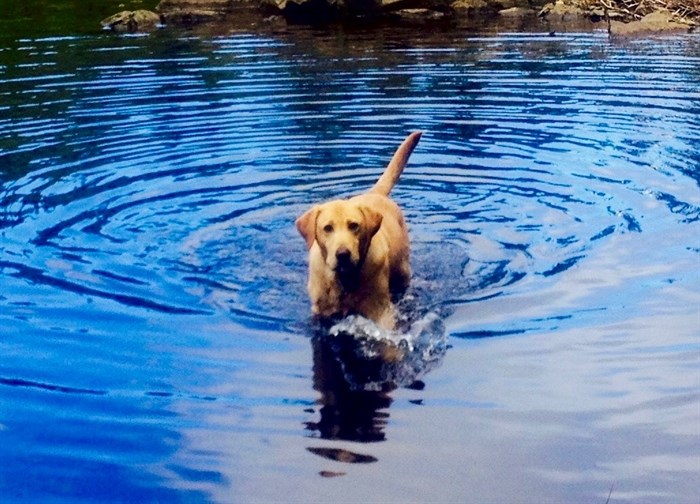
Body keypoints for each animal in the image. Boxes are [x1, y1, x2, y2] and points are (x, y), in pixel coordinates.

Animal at [296, 130, 422, 328]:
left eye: (354, 225)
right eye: (327, 228)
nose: (342, 254)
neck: (345, 280)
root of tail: (375, 193)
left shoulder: (380, 310)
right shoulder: (321, 311)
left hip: (402, 269)